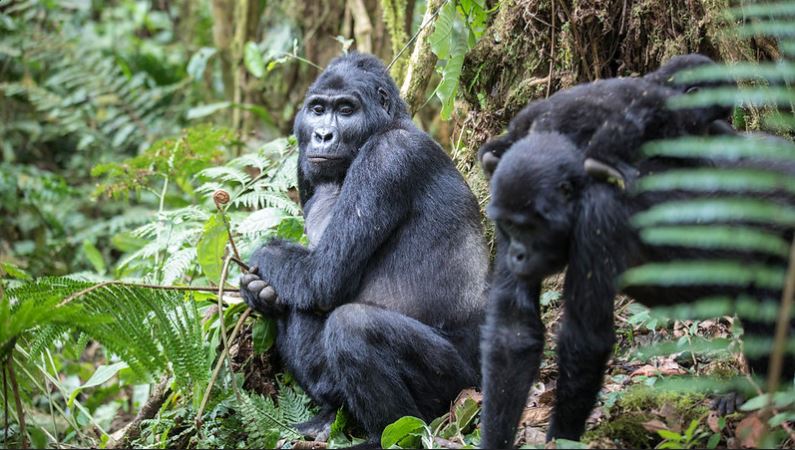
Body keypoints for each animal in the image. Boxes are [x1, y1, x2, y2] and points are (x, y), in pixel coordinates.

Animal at [239, 53, 488, 442]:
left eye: (345, 110)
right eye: (318, 109)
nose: (323, 135)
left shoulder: (388, 158)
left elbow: (321, 275)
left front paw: (260, 260)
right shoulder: (304, 167)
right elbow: (311, 281)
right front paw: (257, 293)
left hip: (461, 387)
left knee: (352, 326)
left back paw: (390, 435)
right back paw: (329, 414)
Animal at [478, 55, 795, 446]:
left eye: (529, 227)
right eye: (511, 227)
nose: (517, 255)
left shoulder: (598, 213)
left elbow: (585, 341)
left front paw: (561, 438)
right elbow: (514, 332)